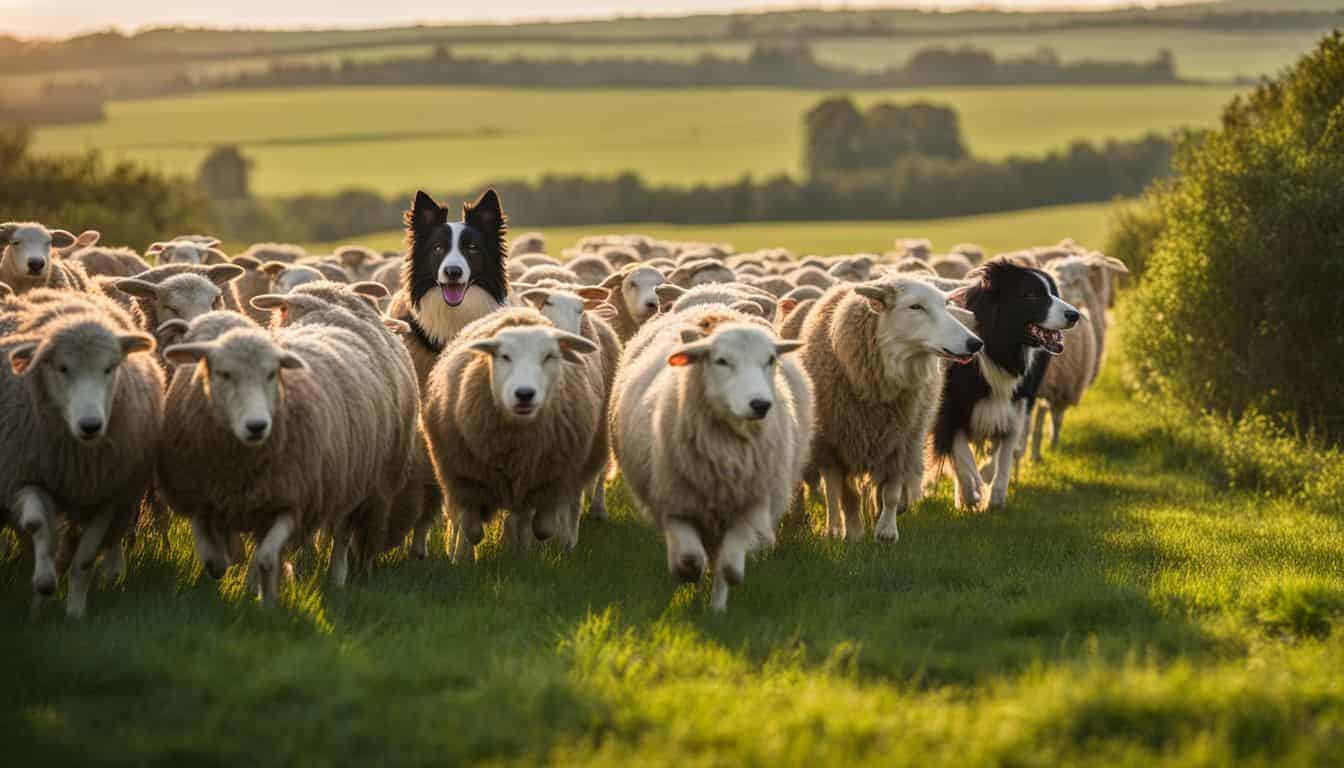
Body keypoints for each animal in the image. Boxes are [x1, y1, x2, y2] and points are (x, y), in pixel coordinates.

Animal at [0, 290, 162, 617]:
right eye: (62, 368)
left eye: (110, 367)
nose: (90, 425)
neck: (78, 458)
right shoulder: (21, 478)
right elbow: (39, 526)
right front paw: (43, 588)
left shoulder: (107, 498)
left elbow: (85, 560)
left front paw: (74, 612)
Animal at [160, 319, 406, 602]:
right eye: (224, 374)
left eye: (271, 374)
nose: (257, 426)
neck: (241, 468)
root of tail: (328, 324)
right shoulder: (201, 495)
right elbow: (214, 557)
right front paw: (226, 572)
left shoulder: (292, 503)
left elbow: (267, 559)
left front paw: (268, 602)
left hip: (352, 486)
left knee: (341, 534)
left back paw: (336, 578)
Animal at [422, 308, 603, 556]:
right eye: (505, 356)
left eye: (549, 356)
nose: (524, 394)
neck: (516, 446)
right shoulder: (464, 478)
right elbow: (472, 529)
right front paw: (463, 555)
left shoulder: (550, 480)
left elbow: (543, 527)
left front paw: (526, 550)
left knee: (523, 517)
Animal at [610, 306, 813, 611]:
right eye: (721, 361)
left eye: (770, 359)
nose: (760, 404)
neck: (726, 456)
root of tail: (715, 308)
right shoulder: (675, 504)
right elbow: (690, 559)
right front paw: (687, 579)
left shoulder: (749, 508)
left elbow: (728, 568)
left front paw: (717, 609)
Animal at [798, 276, 981, 542]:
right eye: (915, 307)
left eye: (946, 305)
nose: (975, 343)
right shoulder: (838, 444)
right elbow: (846, 493)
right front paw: (853, 532)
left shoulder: (902, 440)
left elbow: (891, 493)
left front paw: (886, 531)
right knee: (832, 491)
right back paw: (835, 528)